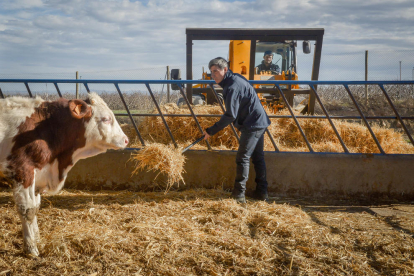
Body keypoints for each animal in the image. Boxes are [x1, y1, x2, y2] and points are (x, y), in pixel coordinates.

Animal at [0, 92, 129, 256]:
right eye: (106, 119)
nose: (126, 140)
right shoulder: (23, 171)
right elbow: (27, 210)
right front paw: (31, 248)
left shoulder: (39, 175)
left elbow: (35, 208)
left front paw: (38, 239)